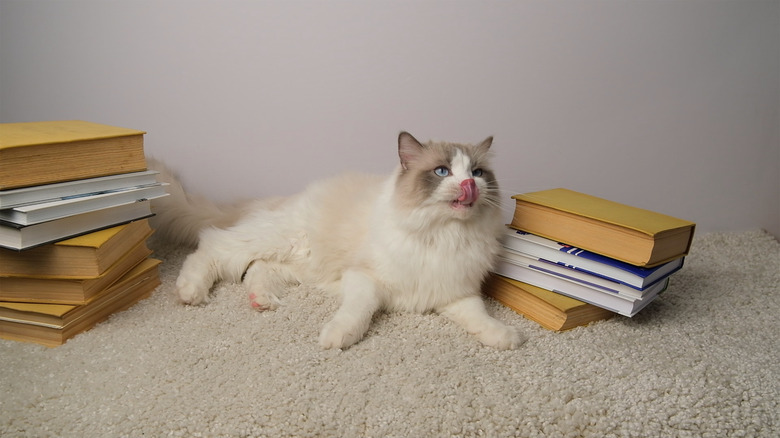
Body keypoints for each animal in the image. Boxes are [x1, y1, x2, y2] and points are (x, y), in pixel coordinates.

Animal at [151, 132, 524, 350]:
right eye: (443, 172)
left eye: (477, 173)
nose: (469, 186)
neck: (443, 235)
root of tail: (284, 198)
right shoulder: (365, 279)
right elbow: (358, 314)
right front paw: (336, 339)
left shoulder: (458, 294)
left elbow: (481, 319)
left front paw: (506, 338)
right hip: (279, 240)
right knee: (211, 247)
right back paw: (190, 292)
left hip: (301, 265)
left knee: (258, 269)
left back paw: (262, 300)